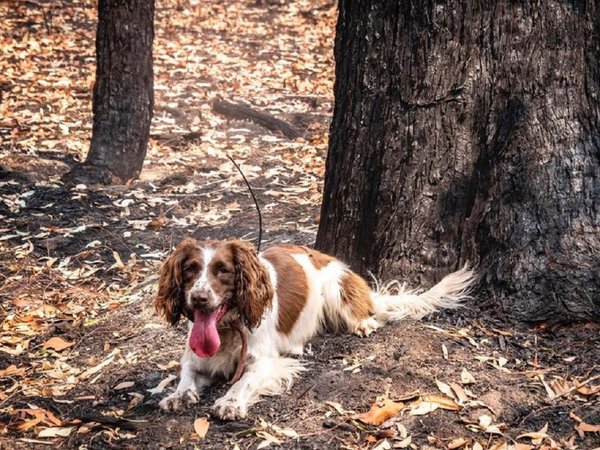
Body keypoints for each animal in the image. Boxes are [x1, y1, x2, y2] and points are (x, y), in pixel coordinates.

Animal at [157, 237, 476, 420]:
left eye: (223, 270)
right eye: (190, 269)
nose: (199, 298)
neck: (227, 329)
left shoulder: (265, 362)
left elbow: (242, 382)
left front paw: (230, 402)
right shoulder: (195, 359)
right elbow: (186, 374)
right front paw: (178, 395)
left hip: (336, 285)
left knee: (362, 312)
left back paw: (363, 323)